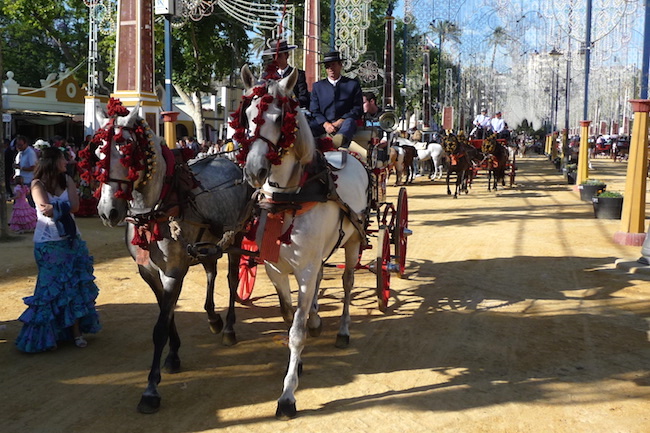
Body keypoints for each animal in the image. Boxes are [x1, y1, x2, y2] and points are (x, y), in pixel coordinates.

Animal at [80, 99, 251, 414]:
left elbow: (160, 326)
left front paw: (150, 389)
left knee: (233, 280)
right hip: (208, 242)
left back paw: (229, 328)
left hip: (237, 235)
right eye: (97, 153)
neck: (154, 211)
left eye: (128, 153)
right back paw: (213, 317)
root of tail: (230, 161)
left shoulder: (173, 272)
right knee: (211, 270)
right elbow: (167, 313)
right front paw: (173, 356)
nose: (108, 212)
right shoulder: (149, 272)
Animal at [237, 65, 370, 418]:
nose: (254, 171)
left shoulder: (306, 271)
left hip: (353, 242)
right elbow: (288, 316)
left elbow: (295, 333)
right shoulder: (274, 268)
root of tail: (346, 153)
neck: (289, 198)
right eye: (247, 115)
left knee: (348, 283)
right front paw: (298, 360)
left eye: (279, 116)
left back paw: (342, 329)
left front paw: (287, 395)